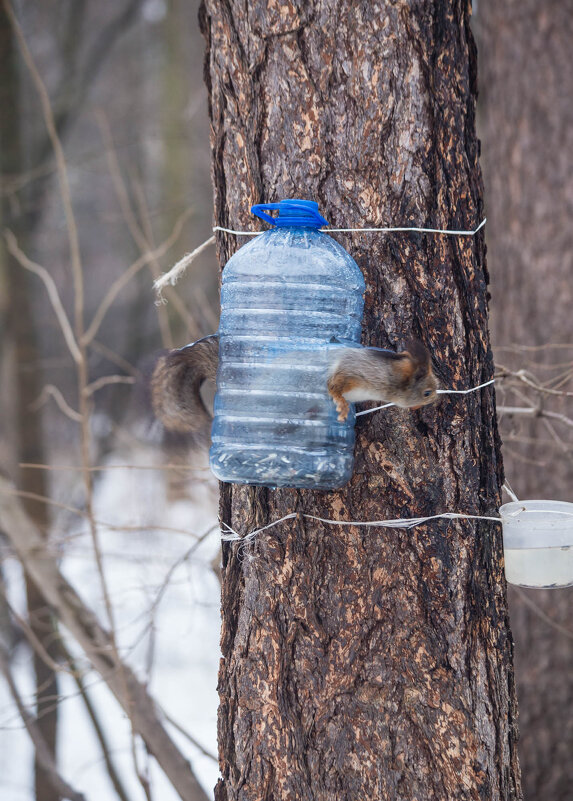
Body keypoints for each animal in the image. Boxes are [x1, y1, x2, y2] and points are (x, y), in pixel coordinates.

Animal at [152, 332, 438, 432]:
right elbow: (335, 384)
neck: (388, 376)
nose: (437, 398)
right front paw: (341, 404)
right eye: (427, 392)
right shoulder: (354, 373)